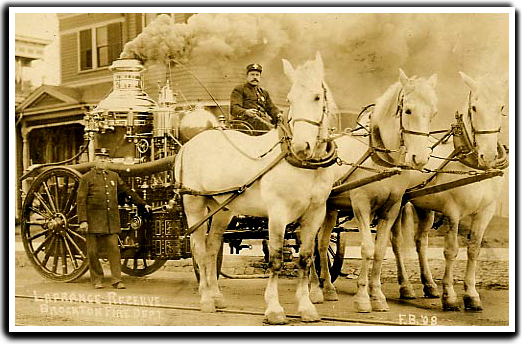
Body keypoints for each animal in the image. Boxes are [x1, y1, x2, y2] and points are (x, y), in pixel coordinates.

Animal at [174, 51, 334, 326]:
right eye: (290, 99)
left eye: (316, 96)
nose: (301, 146)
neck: (304, 165)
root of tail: (188, 144)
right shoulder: (278, 213)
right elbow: (277, 258)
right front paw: (274, 309)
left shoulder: (316, 213)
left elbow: (305, 258)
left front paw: (306, 307)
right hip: (194, 205)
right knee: (198, 248)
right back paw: (205, 299)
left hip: (222, 209)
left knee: (212, 247)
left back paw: (217, 296)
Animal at [312, 69, 438, 312]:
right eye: (408, 110)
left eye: (433, 112)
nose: (420, 158)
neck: (381, 161)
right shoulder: (362, 206)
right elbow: (367, 249)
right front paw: (362, 297)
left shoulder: (391, 208)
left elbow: (379, 250)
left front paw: (377, 296)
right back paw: (314, 287)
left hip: (330, 209)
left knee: (321, 243)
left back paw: (328, 288)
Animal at [390, 71, 506, 310]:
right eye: (474, 108)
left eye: (501, 107)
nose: (489, 156)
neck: (472, 166)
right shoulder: (454, 212)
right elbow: (451, 251)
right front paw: (450, 295)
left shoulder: (486, 212)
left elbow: (473, 249)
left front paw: (471, 294)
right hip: (398, 203)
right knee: (396, 241)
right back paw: (405, 286)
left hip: (424, 207)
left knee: (421, 241)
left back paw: (429, 285)